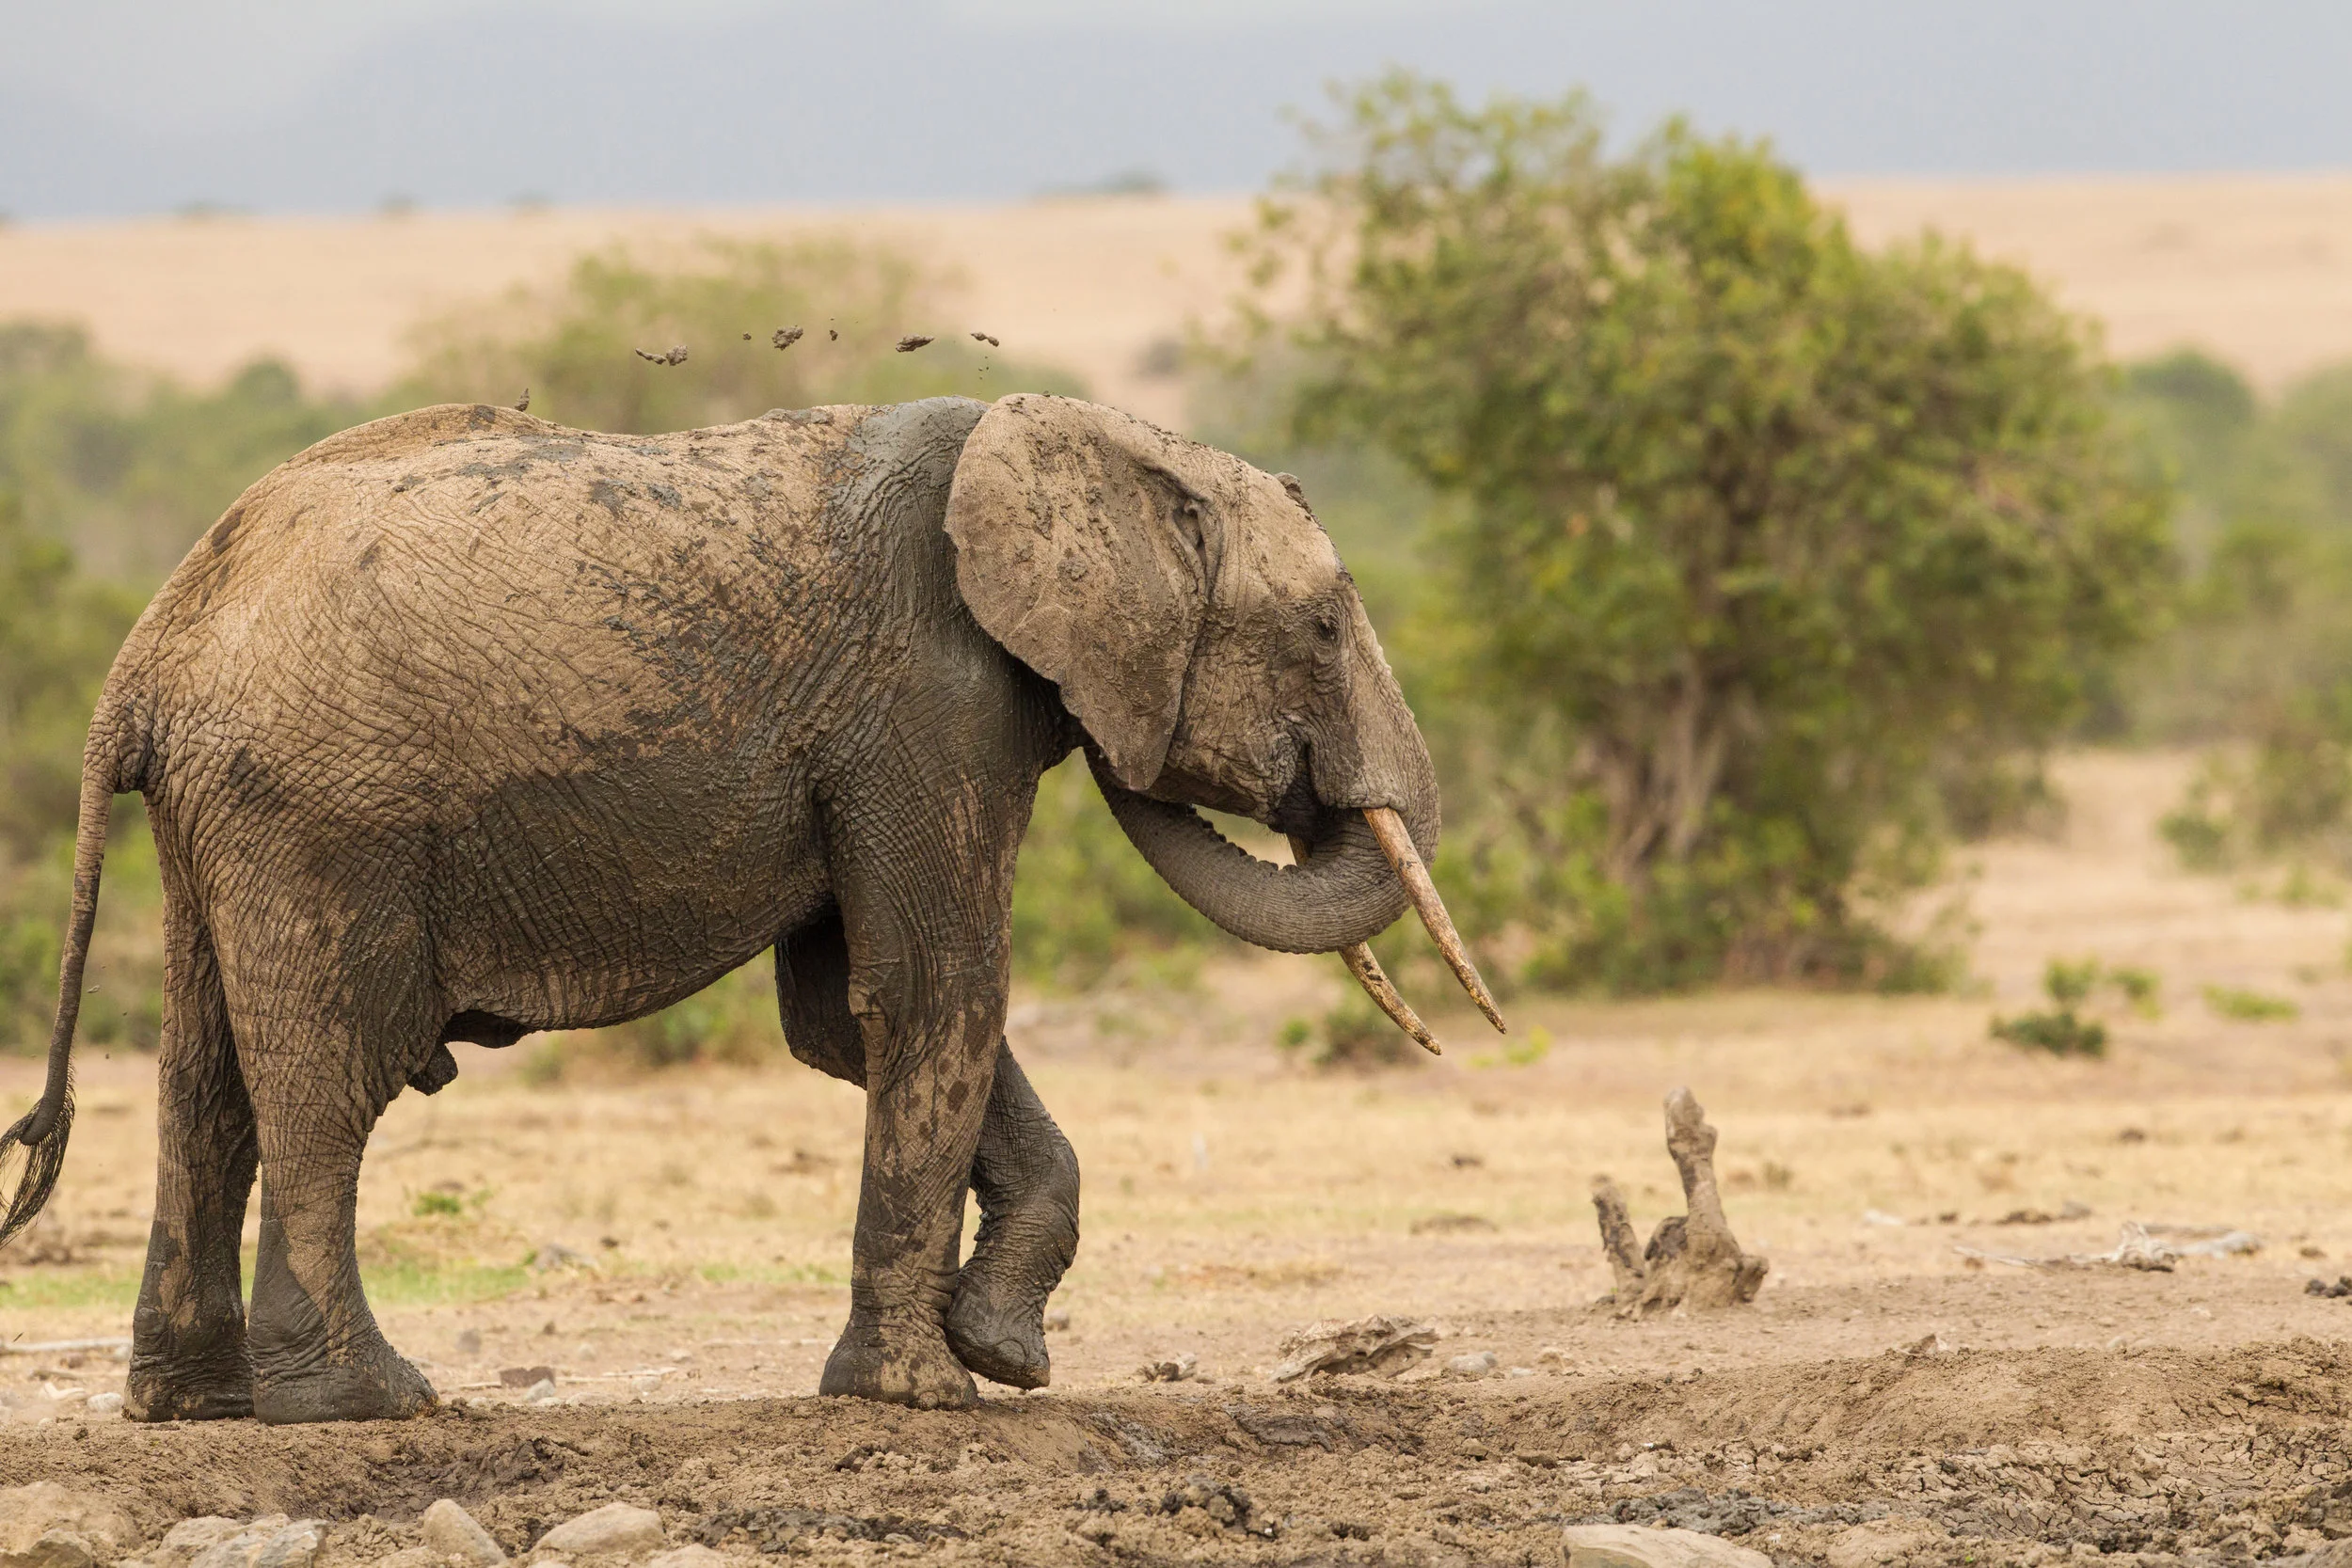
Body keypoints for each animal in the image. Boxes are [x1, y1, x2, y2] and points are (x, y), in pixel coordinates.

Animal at [0, 392, 1495, 1423]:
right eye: (1322, 626)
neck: (1076, 436)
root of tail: (145, 651)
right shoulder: (930, 705)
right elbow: (933, 988)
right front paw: (926, 1393)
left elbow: (845, 1016)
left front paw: (1001, 1353)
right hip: (320, 815)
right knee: (324, 1074)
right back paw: (373, 1401)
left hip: (219, 821)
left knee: (204, 1078)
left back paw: (197, 1405)